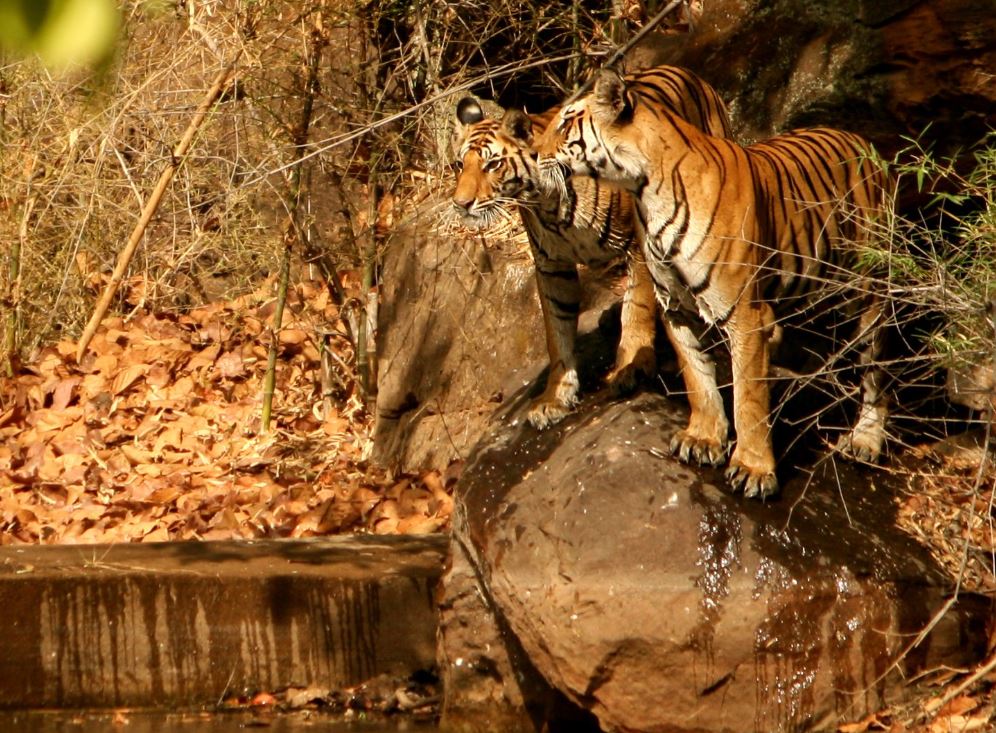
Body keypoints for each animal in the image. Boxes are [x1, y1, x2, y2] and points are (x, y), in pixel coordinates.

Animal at [450, 66, 732, 429]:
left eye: (492, 165)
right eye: (460, 165)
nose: (461, 204)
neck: (546, 204)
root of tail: (687, 72)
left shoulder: (638, 246)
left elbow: (637, 309)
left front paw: (630, 367)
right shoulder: (552, 267)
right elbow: (556, 333)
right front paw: (555, 397)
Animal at [534, 66, 895, 499]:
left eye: (565, 123)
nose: (532, 153)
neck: (644, 191)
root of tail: (864, 143)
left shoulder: (745, 314)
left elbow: (749, 397)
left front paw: (753, 469)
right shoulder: (675, 306)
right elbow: (697, 377)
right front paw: (703, 438)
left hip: (870, 296)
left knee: (876, 372)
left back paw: (865, 440)